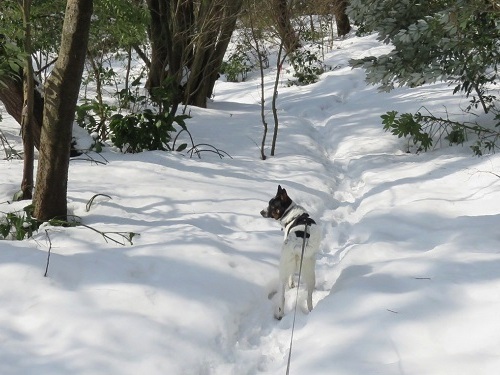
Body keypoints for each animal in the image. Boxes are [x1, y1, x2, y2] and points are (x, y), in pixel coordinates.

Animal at [262, 185, 320, 320]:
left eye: (271, 205)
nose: (261, 212)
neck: (293, 214)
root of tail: (298, 244)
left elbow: (291, 277)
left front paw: (292, 284)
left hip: (283, 270)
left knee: (282, 297)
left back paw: (280, 314)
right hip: (310, 272)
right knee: (309, 298)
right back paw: (311, 311)